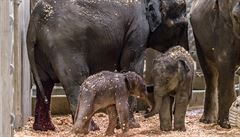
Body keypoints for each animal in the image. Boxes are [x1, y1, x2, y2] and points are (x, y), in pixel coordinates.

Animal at [26, 0, 188, 131]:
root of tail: (35, 20)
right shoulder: (137, 28)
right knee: (76, 81)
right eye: (183, 26)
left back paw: (45, 128)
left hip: (41, 50)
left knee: (45, 84)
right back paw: (91, 128)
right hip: (65, 45)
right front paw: (132, 126)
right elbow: (131, 67)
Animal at [190, 0, 239, 128]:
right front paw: (225, 124)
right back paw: (208, 120)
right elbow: (224, 60)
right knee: (210, 72)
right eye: (236, 17)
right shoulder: (221, 26)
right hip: (198, 40)